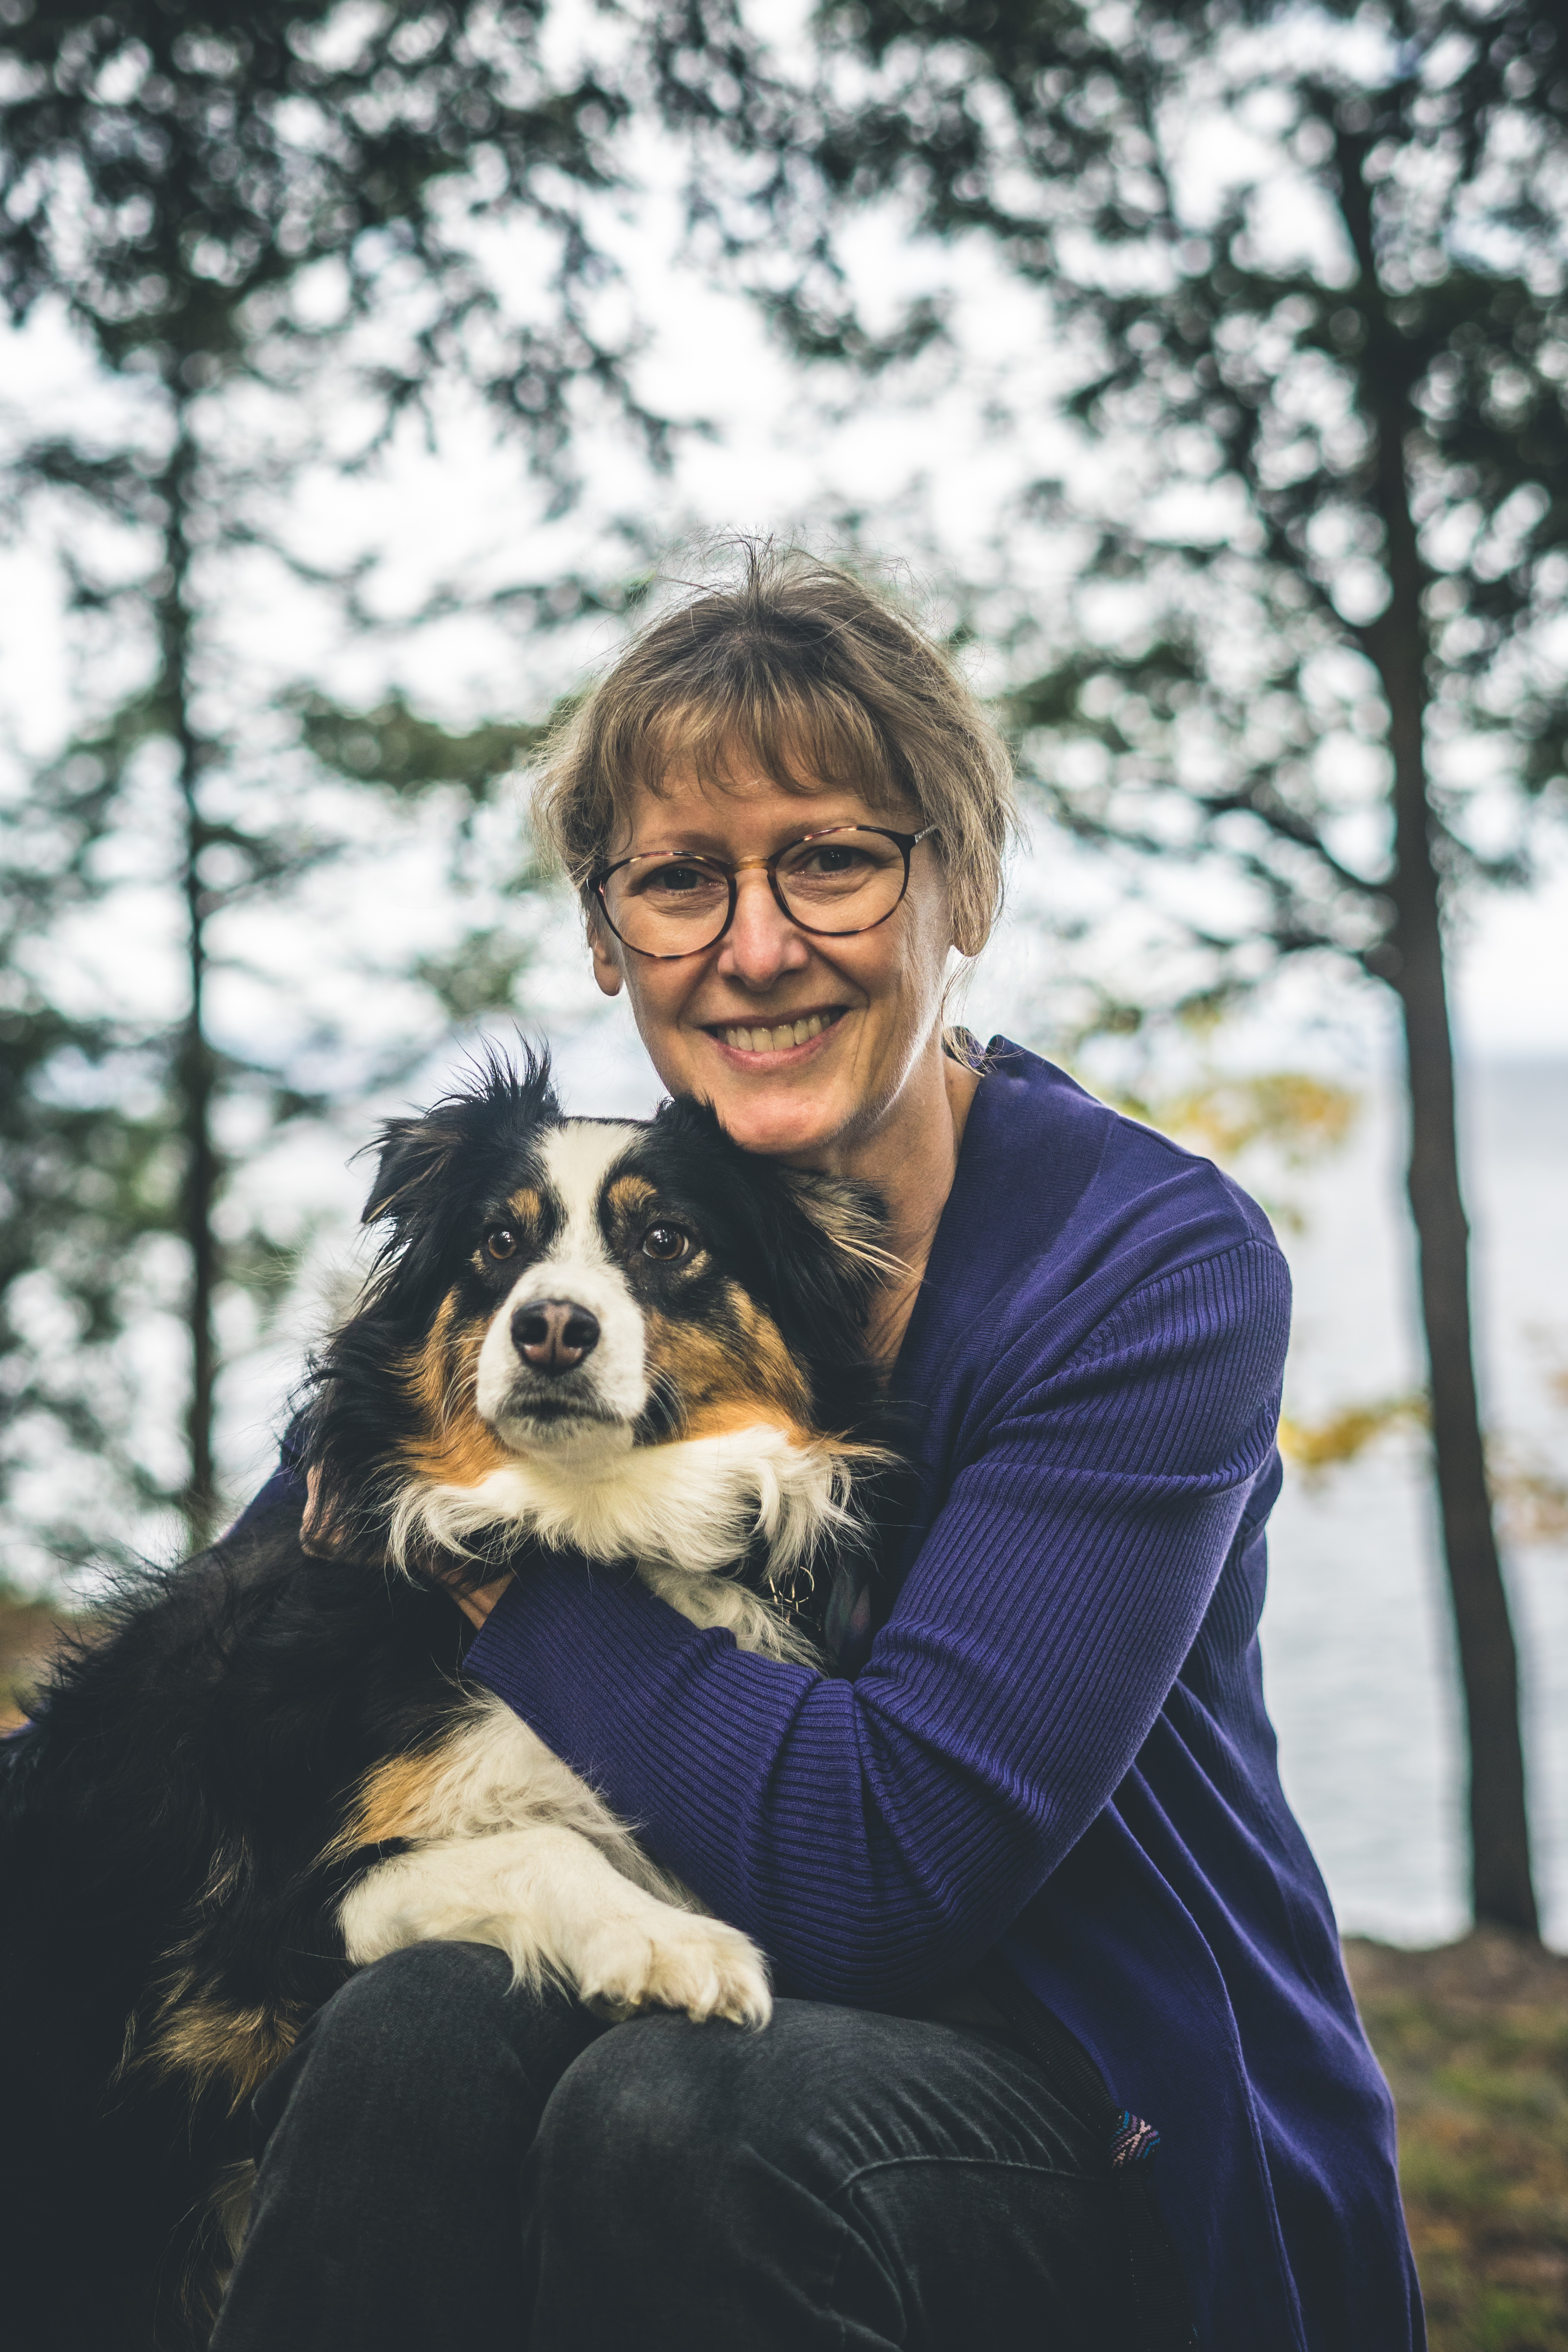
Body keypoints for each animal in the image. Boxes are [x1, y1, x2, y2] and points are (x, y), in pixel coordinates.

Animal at [0, 1058, 902, 2352]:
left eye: (666, 1240)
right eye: (498, 1243)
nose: (551, 1326)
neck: (582, 1530)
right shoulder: (282, 1912)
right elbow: (542, 1844)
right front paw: (670, 1942)